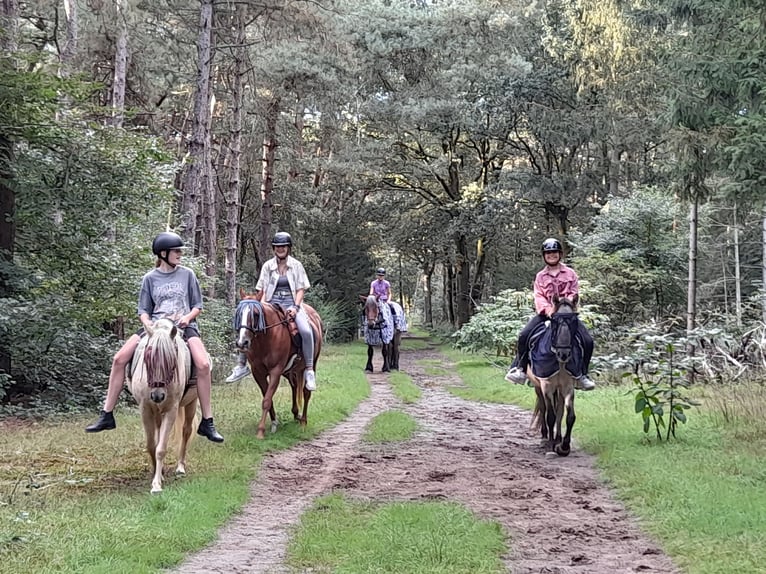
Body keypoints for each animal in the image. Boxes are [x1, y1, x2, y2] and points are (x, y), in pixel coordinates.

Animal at [127, 320, 200, 496]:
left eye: (171, 360)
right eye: (147, 358)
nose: (158, 395)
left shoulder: (171, 411)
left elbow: (161, 448)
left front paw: (156, 485)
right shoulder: (145, 409)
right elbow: (151, 445)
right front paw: (157, 475)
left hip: (191, 402)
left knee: (186, 431)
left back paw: (180, 467)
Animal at [231, 292, 320, 440]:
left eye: (256, 314)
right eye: (239, 313)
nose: (242, 343)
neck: (266, 340)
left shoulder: (275, 371)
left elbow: (267, 399)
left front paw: (260, 431)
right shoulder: (258, 373)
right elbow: (268, 397)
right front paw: (274, 423)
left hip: (311, 364)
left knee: (306, 391)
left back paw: (303, 421)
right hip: (290, 371)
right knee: (295, 386)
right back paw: (296, 414)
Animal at [528, 296, 584, 460]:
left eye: (574, 321)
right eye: (554, 321)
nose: (563, 354)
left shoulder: (567, 387)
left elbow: (570, 416)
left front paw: (563, 446)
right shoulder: (547, 386)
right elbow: (550, 416)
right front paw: (551, 446)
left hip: (558, 390)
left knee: (559, 410)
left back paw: (558, 438)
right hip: (538, 386)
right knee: (543, 408)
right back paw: (545, 438)